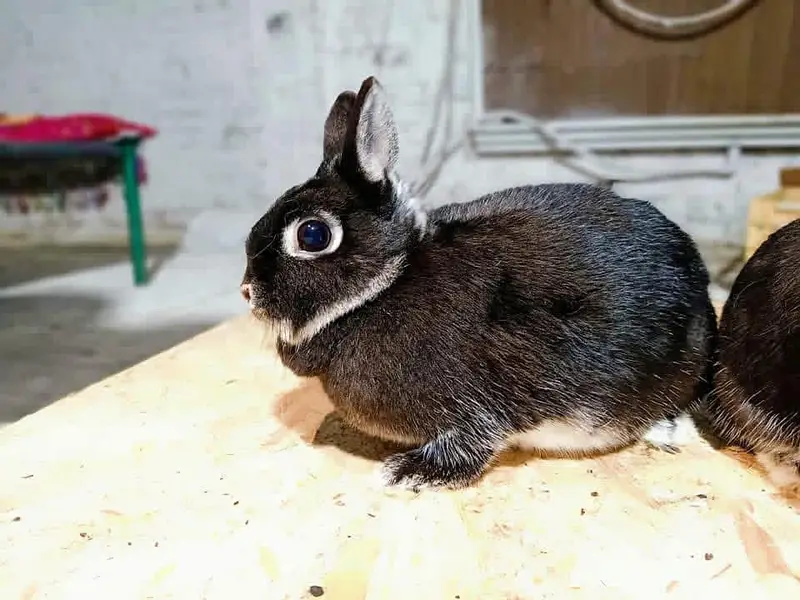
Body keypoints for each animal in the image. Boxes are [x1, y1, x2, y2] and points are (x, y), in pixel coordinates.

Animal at [240, 75, 717, 491]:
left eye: (312, 235)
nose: (247, 292)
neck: (386, 283)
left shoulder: (475, 410)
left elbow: (469, 445)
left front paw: (404, 473)